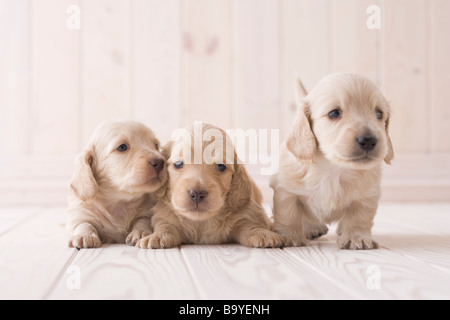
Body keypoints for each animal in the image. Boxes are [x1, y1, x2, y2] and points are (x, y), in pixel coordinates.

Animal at [66, 120, 166, 248]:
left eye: (156, 145)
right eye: (122, 147)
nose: (160, 162)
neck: (120, 200)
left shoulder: (148, 211)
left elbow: (143, 220)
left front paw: (140, 232)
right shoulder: (79, 212)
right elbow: (83, 223)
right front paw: (84, 235)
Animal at [270, 73, 394, 250]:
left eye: (379, 114)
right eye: (334, 113)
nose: (369, 140)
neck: (333, 167)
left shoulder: (367, 195)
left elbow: (359, 217)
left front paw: (357, 238)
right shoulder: (285, 190)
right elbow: (288, 213)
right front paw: (290, 236)